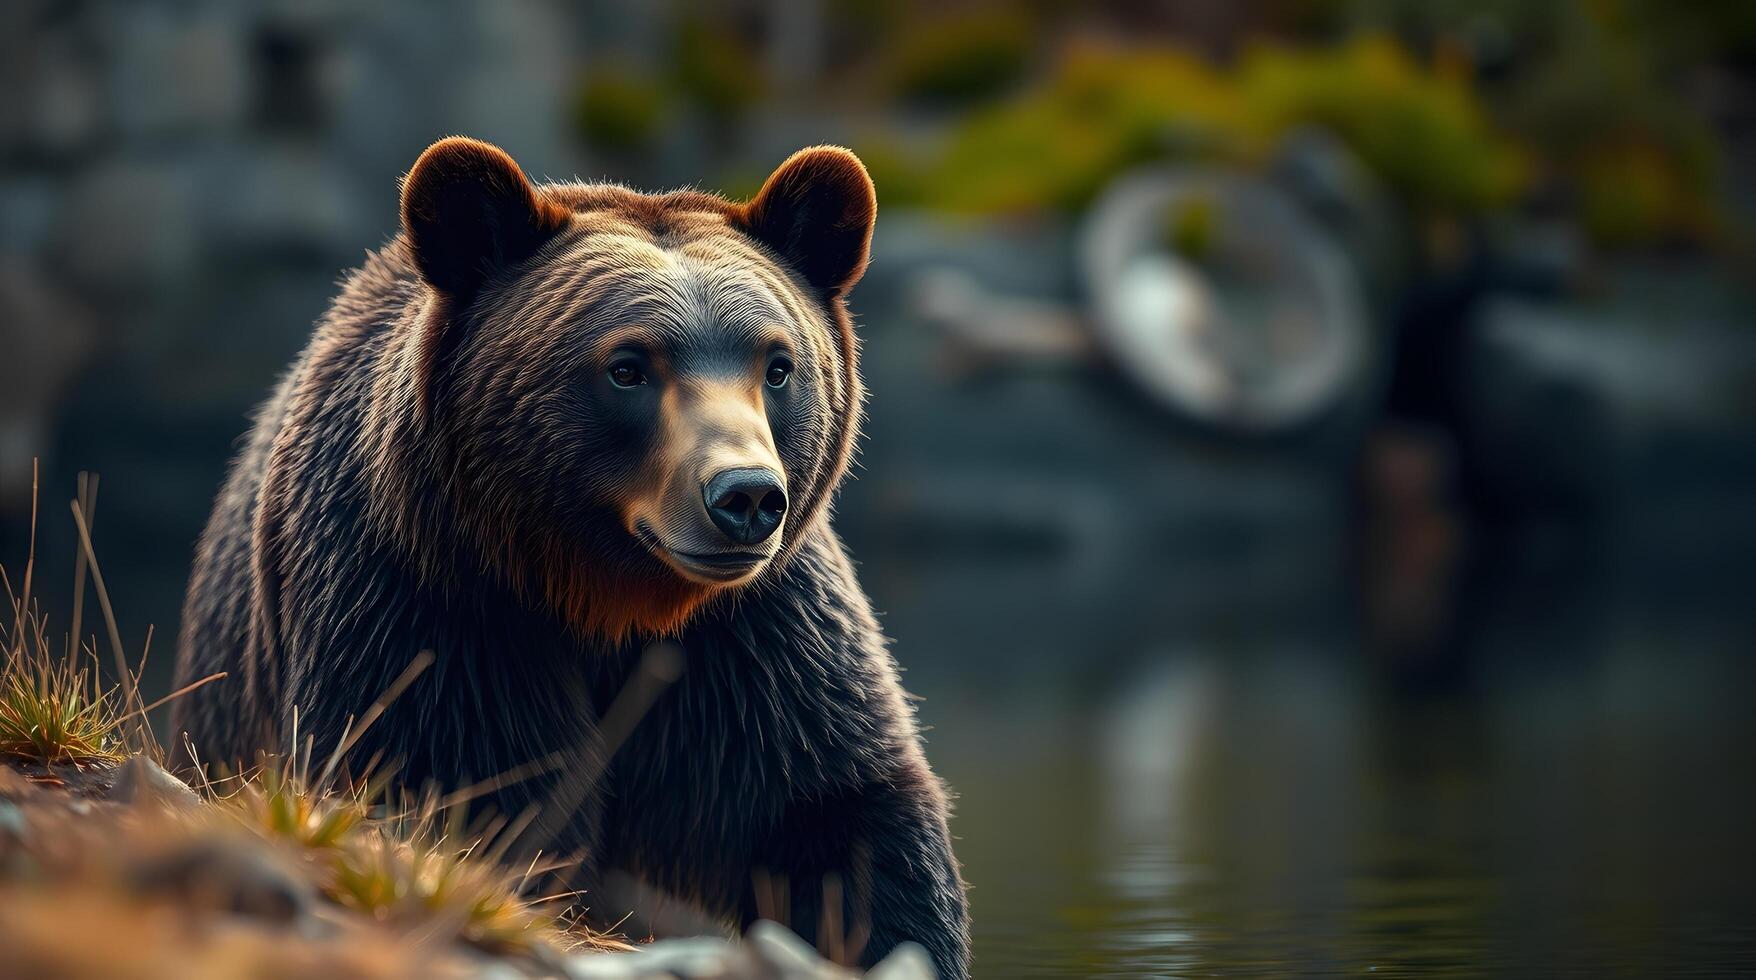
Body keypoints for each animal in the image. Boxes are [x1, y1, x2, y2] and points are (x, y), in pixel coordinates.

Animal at [174, 136, 976, 976]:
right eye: (628, 366)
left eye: (778, 364)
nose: (746, 497)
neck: (601, 593)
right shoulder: (426, 605)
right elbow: (450, 779)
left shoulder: (755, 644)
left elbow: (834, 809)